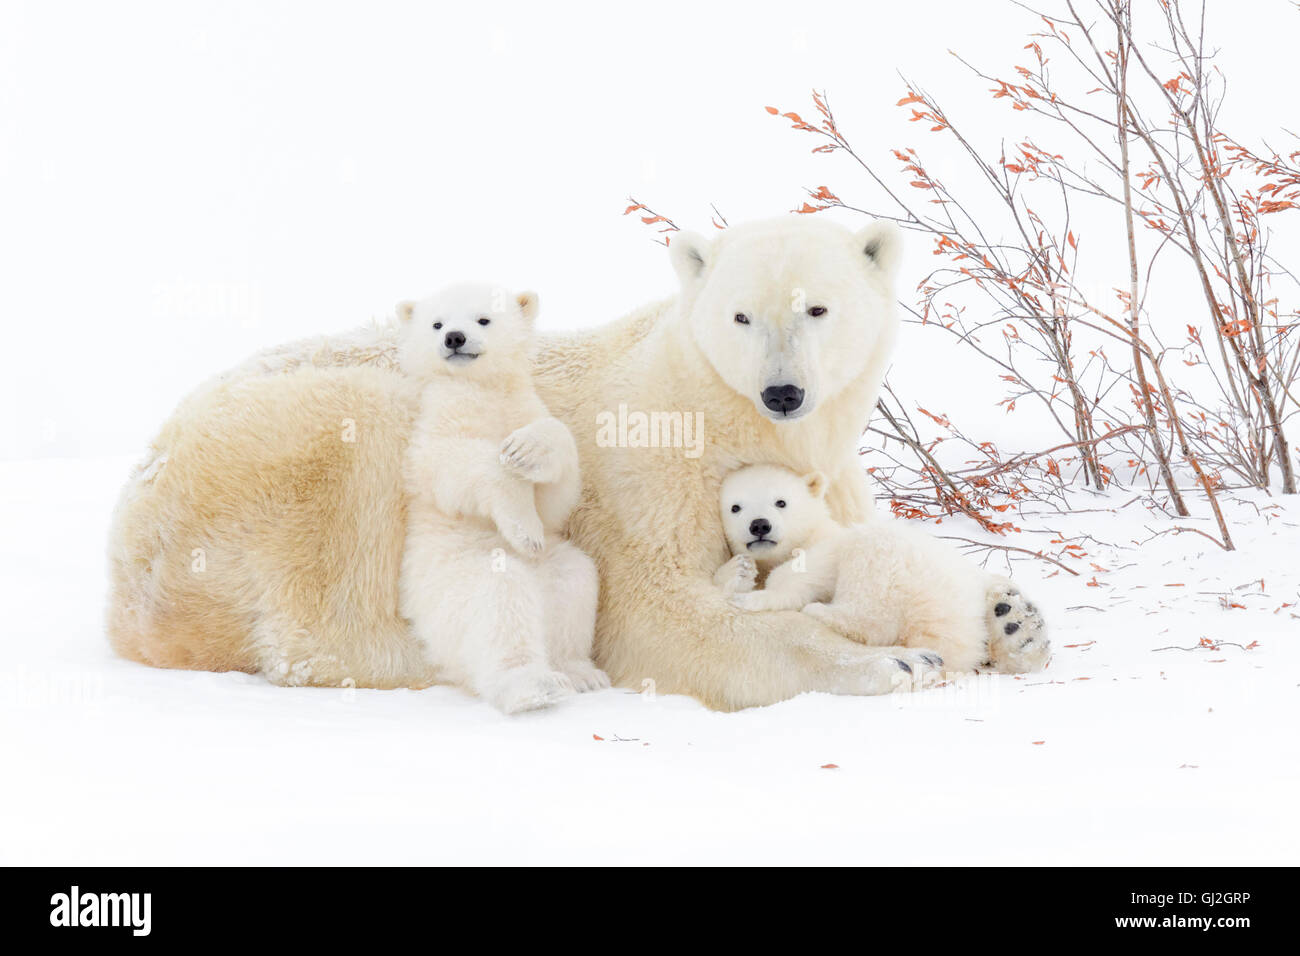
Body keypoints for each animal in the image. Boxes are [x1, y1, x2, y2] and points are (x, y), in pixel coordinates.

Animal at [106, 217, 1050, 712]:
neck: (723, 410)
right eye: (741, 316)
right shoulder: (651, 472)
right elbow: (661, 616)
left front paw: (1013, 618)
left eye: (816, 308)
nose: (783, 391)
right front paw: (893, 662)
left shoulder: (836, 475)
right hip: (275, 456)